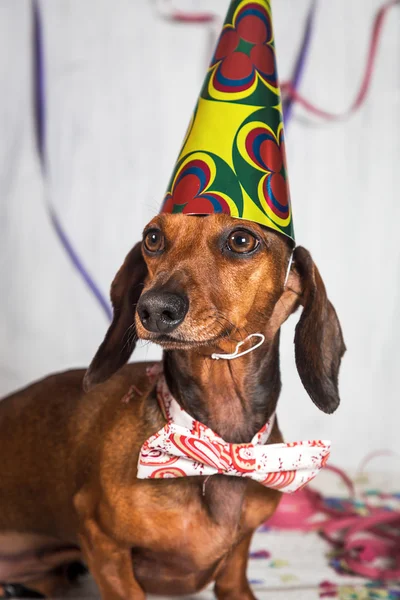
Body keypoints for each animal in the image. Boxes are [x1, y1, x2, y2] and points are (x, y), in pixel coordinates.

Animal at [0, 213, 346, 596]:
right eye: (153, 238)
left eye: (241, 240)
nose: (153, 309)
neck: (218, 447)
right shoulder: (100, 540)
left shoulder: (239, 552)